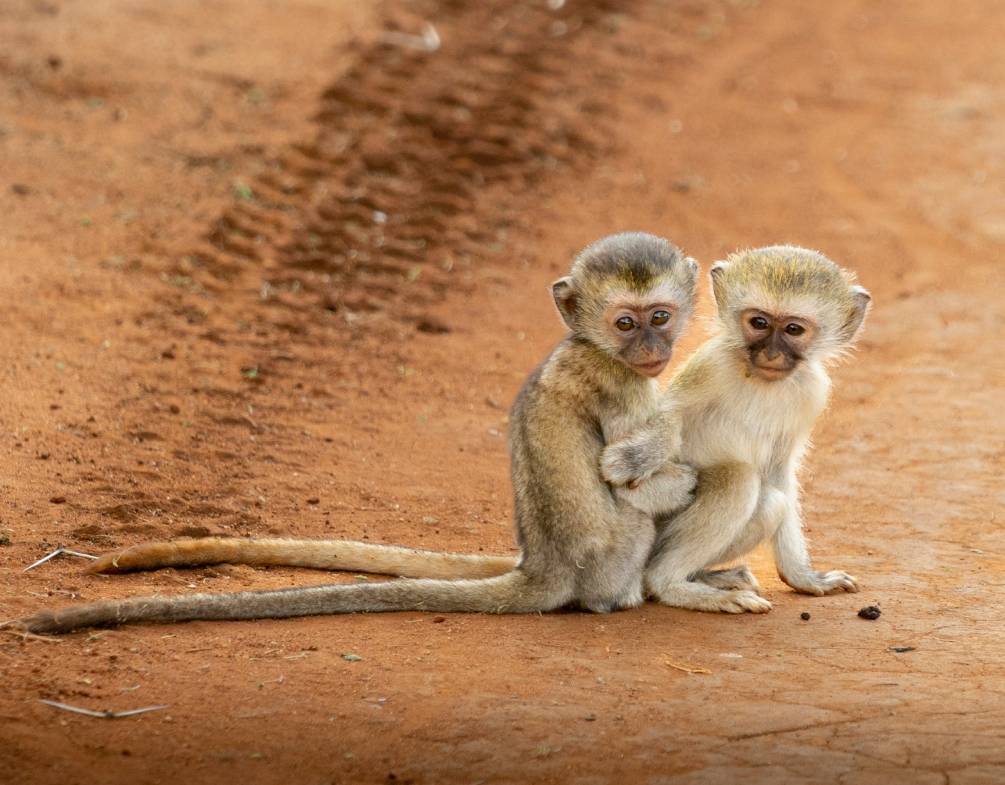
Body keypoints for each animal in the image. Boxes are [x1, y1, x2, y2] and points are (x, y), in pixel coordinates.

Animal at [16, 232, 700, 634]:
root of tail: (544, 565)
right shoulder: (624, 388)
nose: (651, 349)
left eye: (661, 318)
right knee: (635, 521)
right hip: (616, 560)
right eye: (627, 323)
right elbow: (628, 475)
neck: (590, 346)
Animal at [600, 245, 871, 613]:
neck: (761, 380)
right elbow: (670, 415)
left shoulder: (812, 393)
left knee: (771, 502)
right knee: (738, 479)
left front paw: (803, 577)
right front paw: (635, 459)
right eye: (759, 323)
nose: (771, 354)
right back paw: (674, 586)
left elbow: (779, 475)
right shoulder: (713, 364)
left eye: (793, 330)